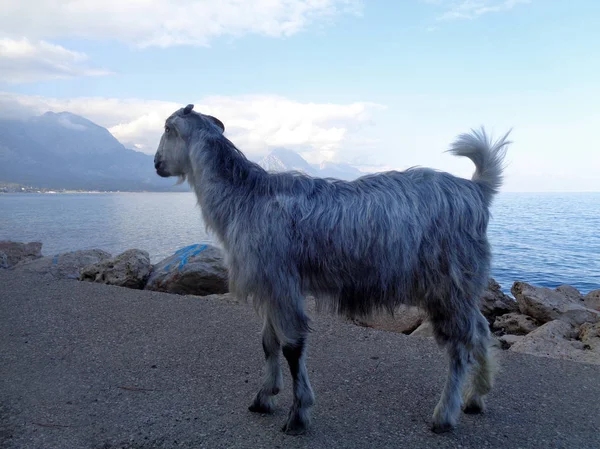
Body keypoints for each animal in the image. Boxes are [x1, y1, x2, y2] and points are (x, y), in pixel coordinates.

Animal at [154, 105, 506, 434]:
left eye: (168, 129)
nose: (156, 163)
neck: (245, 197)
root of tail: (476, 191)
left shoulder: (281, 283)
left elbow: (291, 347)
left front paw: (298, 414)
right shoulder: (271, 287)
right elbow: (268, 342)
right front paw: (264, 397)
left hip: (448, 281)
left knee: (459, 346)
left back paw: (444, 414)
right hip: (463, 285)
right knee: (480, 329)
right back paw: (476, 397)